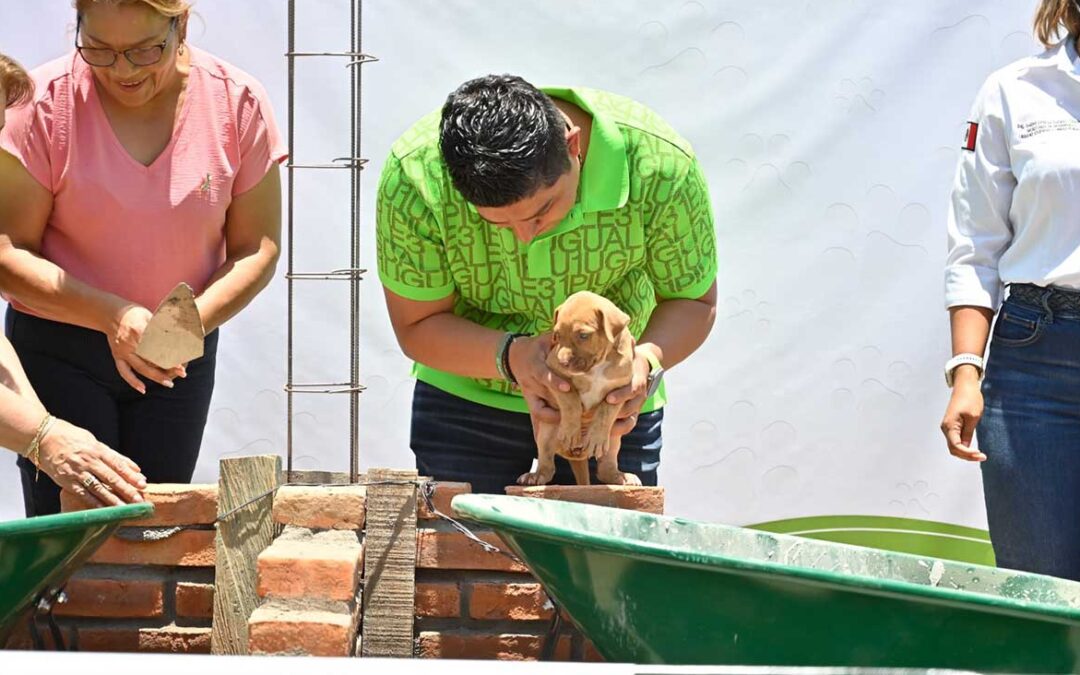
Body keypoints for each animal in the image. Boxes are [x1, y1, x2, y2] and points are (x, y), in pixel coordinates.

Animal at [520, 289, 643, 483]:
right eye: (557, 335)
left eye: (583, 335)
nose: (562, 362)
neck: (598, 364)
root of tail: (577, 455)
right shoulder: (555, 376)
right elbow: (570, 401)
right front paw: (571, 431)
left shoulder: (620, 390)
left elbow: (605, 412)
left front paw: (596, 437)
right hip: (546, 432)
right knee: (547, 463)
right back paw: (536, 476)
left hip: (614, 438)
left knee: (605, 467)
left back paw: (621, 477)